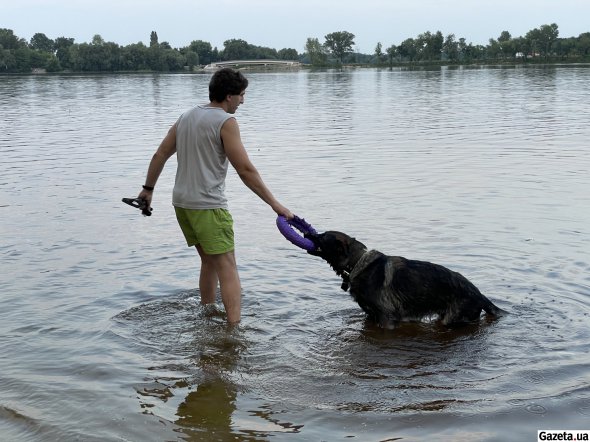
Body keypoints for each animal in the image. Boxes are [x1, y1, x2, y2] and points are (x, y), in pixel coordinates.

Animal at [308, 231, 506, 328]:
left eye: (322, 236)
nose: (306, 234)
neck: (356, 262)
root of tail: (478, 293)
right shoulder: (372, 316)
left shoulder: (386, 319)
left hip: (451, 320)